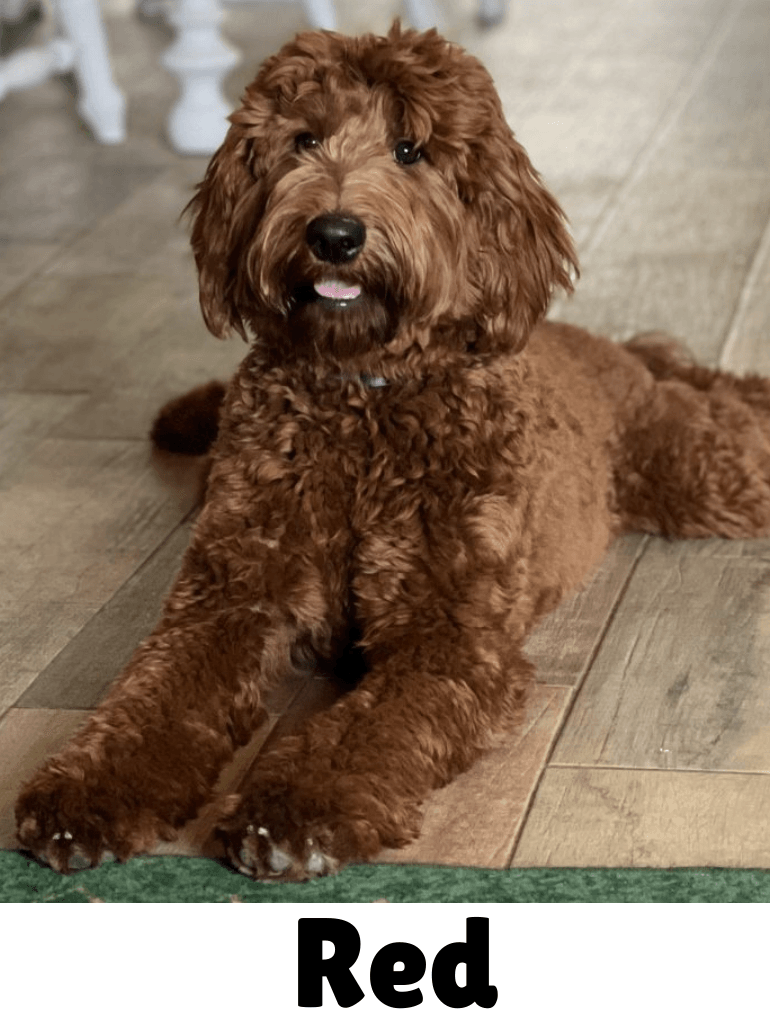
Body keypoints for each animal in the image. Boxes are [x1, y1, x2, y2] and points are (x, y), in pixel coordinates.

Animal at [15, 19, 770, 876]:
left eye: (412, 150)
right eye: (303, 140)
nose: (335, 234)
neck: (364, 402)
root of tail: (607, 348)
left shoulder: (446, 638)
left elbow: (363, 735)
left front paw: (292, 812)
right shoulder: (227, 601)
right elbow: (150, 699)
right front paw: (86, 792)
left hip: (694, 462)